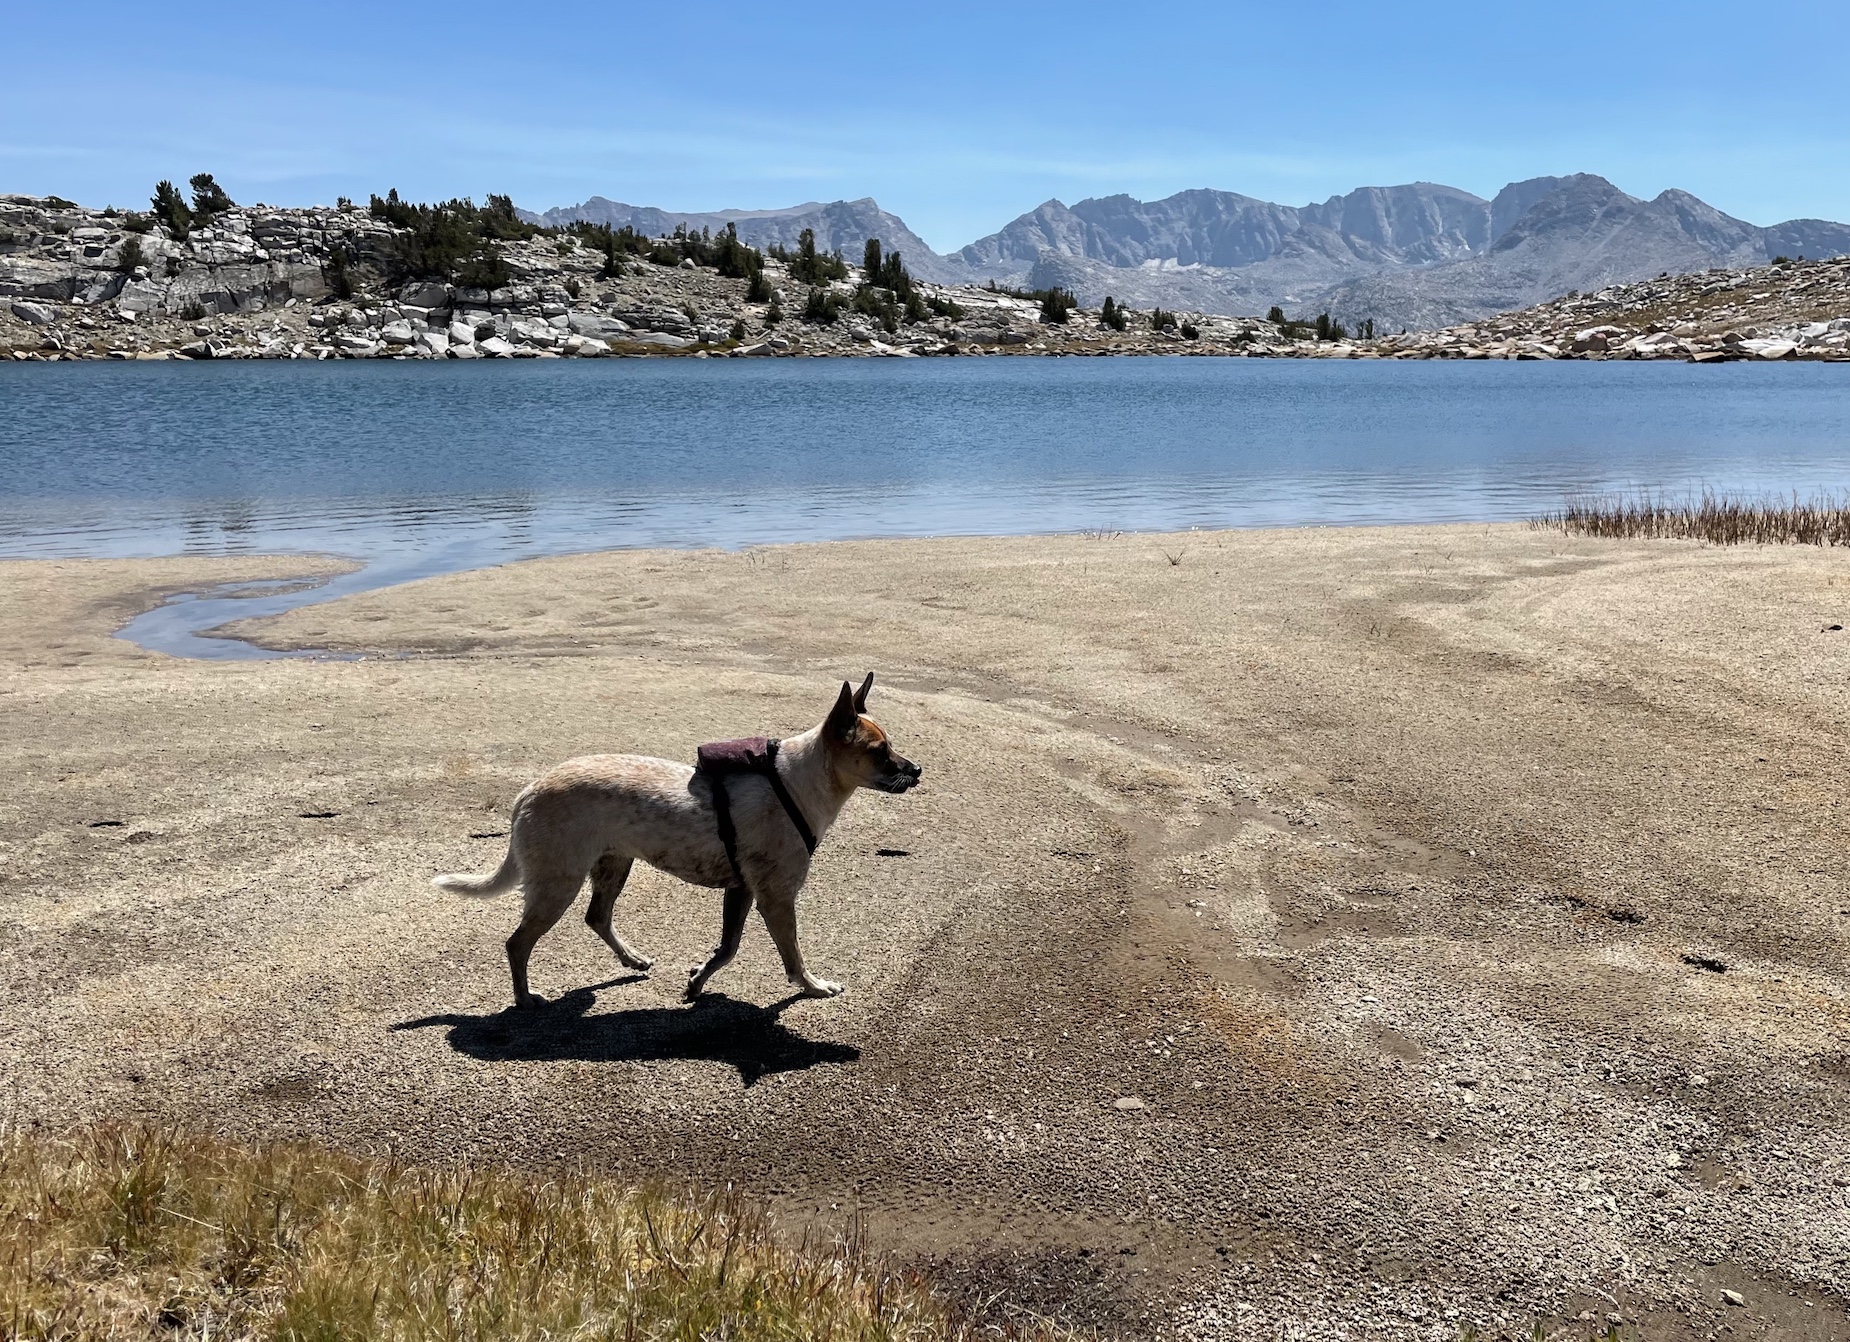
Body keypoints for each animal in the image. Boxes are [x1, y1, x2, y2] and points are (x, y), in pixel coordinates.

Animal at [434, 673, 925, 1006]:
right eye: (879, 752)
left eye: (890, 745)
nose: (918, 769)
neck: (797, 781)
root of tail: (528, 791)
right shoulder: (775, 897)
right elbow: (793, 956)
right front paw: (813, 987)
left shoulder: (741, 890)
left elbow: (727, 949)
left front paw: (698, 980)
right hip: (558, 883)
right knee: (518, 943)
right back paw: (525, 998)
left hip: (613, 865)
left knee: (596, 917)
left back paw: (632, 960)